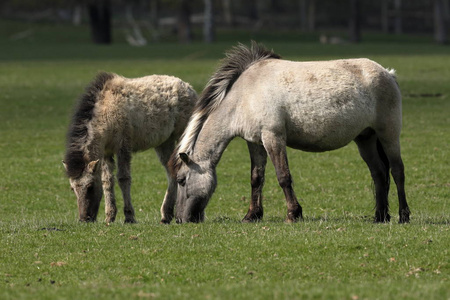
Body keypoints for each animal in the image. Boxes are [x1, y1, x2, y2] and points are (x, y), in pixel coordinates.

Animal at [63, 72, 197, 223]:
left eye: (90, 187)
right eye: (72, 189)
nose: (84, 219)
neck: (106, 112)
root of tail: (189, 88)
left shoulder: (123, 147)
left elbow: (123, 178)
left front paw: (129, 216)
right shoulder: (106, 153)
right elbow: (107, 181)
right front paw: (109, 217)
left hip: (182, 136)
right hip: (164, 143)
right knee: (172, 171)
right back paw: (166, 215)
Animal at [170, 41, 412, 224]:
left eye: (181, 180)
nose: (180, 219)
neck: (244, 94)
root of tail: (388, 74)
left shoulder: (273, 137)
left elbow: (283, 177)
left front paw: (293, 214)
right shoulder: (255, 142)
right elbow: (256, 178)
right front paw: (252, 215)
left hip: (388, 135)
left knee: (397, 171)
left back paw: (403, 216)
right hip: (366, 139)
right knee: (378, 173)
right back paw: (380, 217)